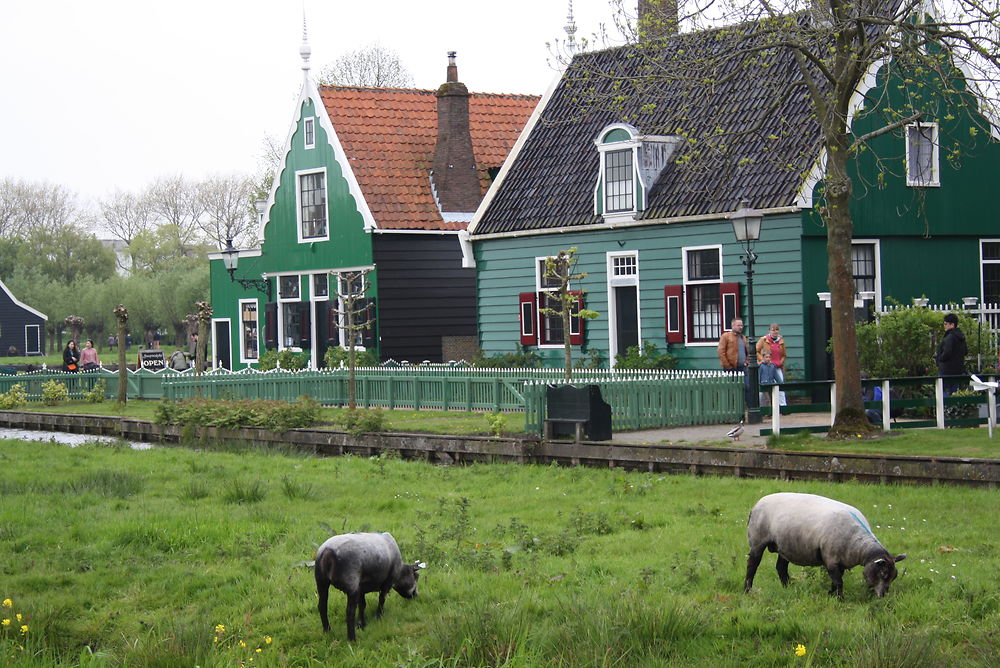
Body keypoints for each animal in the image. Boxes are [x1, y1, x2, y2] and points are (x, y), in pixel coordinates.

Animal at [744, 490, 908, 600]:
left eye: (894, 576)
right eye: (883, 573)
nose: (883, 595)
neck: (858, 544)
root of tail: (756, 504)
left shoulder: (840, 561)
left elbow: (835, 581)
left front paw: (831, 595)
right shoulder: (831, 558)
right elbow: (838, 581)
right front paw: (840, 599)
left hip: (785, 545)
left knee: (781, 568)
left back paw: (788, 587)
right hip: (757, 540)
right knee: (752, 565)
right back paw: (747, 590)